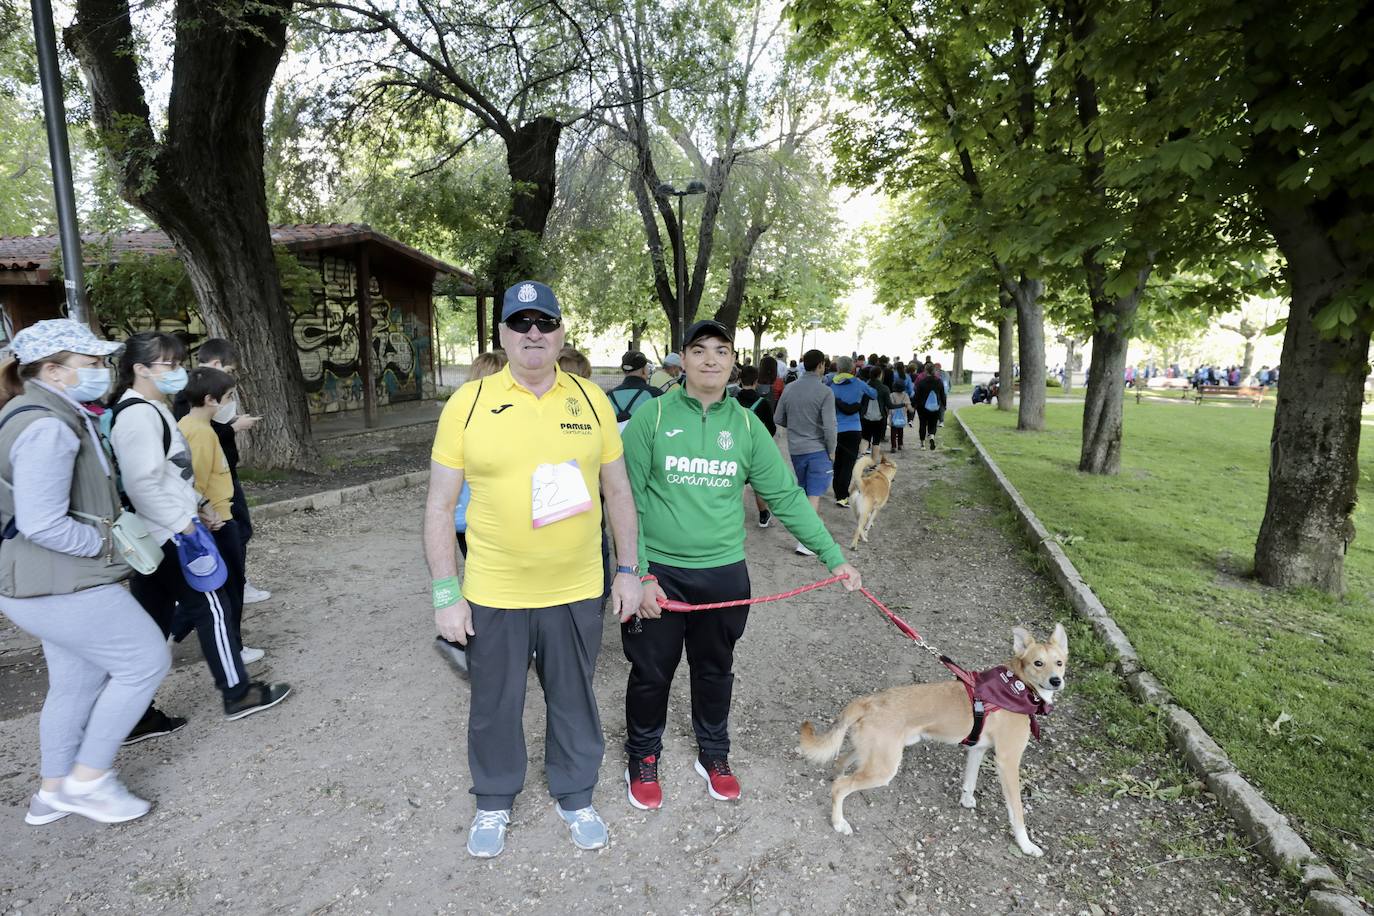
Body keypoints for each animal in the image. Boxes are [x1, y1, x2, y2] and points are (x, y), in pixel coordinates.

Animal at [796, 626, 1071, 856]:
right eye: (1038, 663)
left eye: (1059, 663)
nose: (1056, 680)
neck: (1018, 688)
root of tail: (868, 701)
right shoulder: (1008, 761)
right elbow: (1017, 813)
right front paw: (1026, 845)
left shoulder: (978, 749)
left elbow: (969, 781)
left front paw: (966, 800)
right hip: (883, 768)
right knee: (840, 787)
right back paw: (839, 822)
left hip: (873, 753)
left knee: (841, 762)